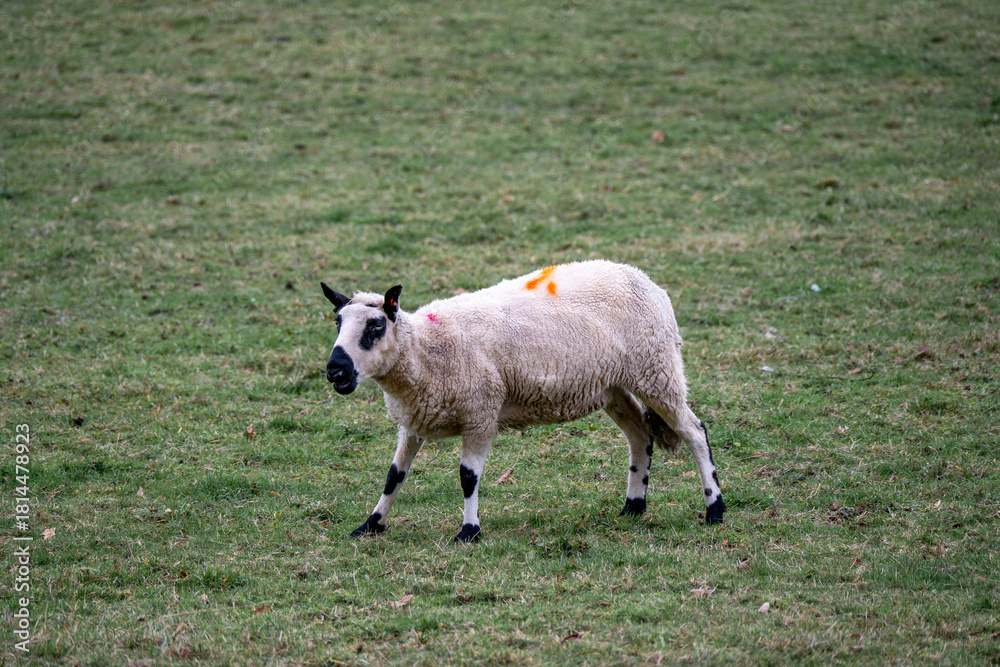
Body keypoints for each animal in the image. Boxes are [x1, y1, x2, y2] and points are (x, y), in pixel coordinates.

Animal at [321, 260, 725, 542]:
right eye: (338, 322)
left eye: (375, 327)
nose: (336, 371)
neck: (427, 348)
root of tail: (643, 278)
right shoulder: (415, 420)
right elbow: (395, 475)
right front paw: (371, 524)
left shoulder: (481, 413)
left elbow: (468, 477)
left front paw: (469, 531)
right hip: (613, 385)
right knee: (641, 437)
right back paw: (633, 507)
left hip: (657, 369)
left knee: (694, 432)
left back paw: (715, 508)